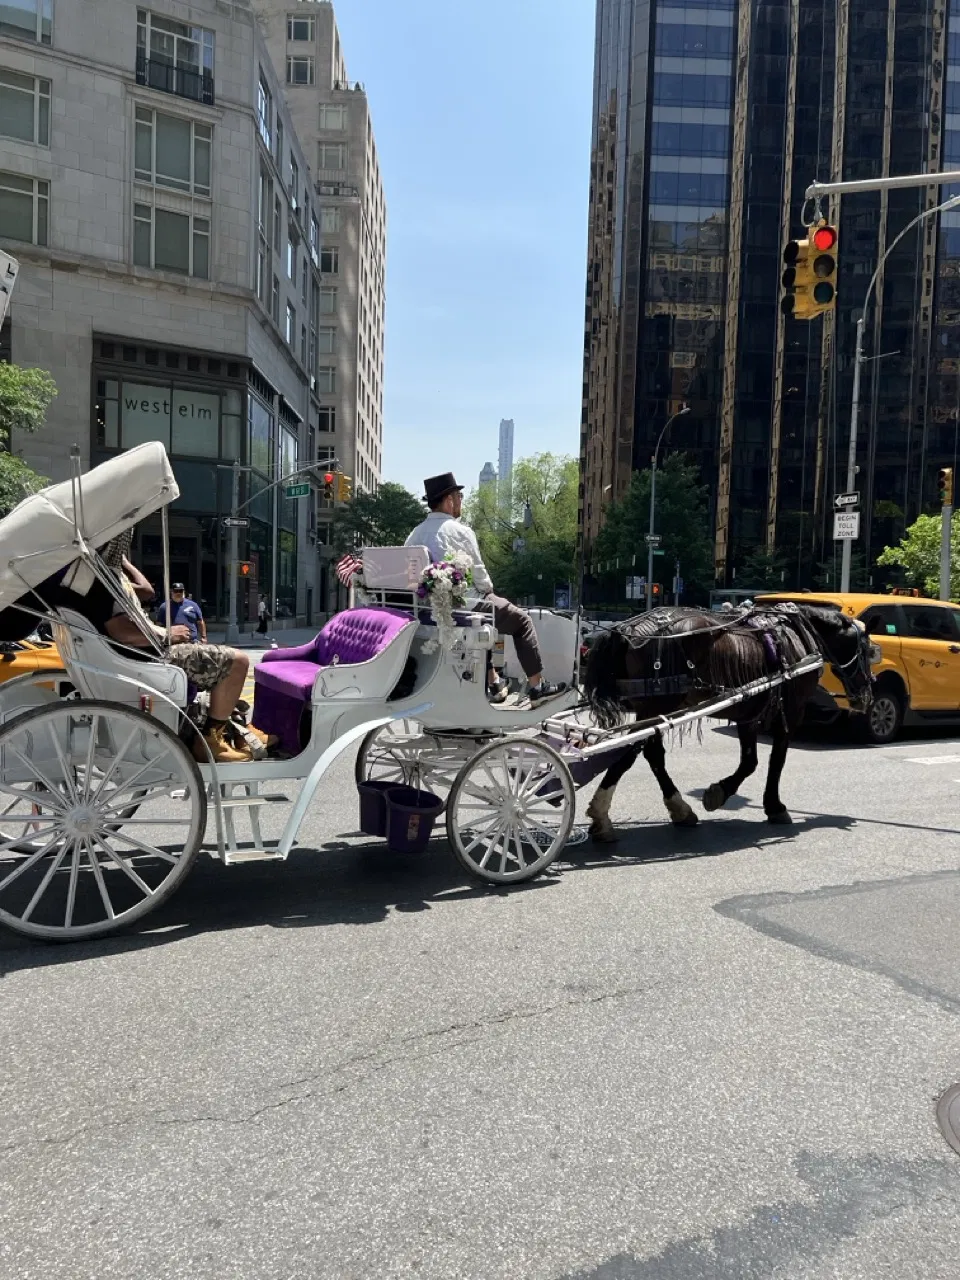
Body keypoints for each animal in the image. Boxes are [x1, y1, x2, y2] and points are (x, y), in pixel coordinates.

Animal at [581, 603, 874, 840]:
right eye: (868, 651)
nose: (868, 695)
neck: (797, 636)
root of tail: (627, 628)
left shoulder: (749, 710)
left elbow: (750, 760)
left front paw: (722, 792)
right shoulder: (790, 712)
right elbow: (775, 760)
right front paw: (773, 806)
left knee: (651, 754)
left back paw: (679, 809)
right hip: (656, 706)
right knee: (632, 752)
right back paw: (602, 813)